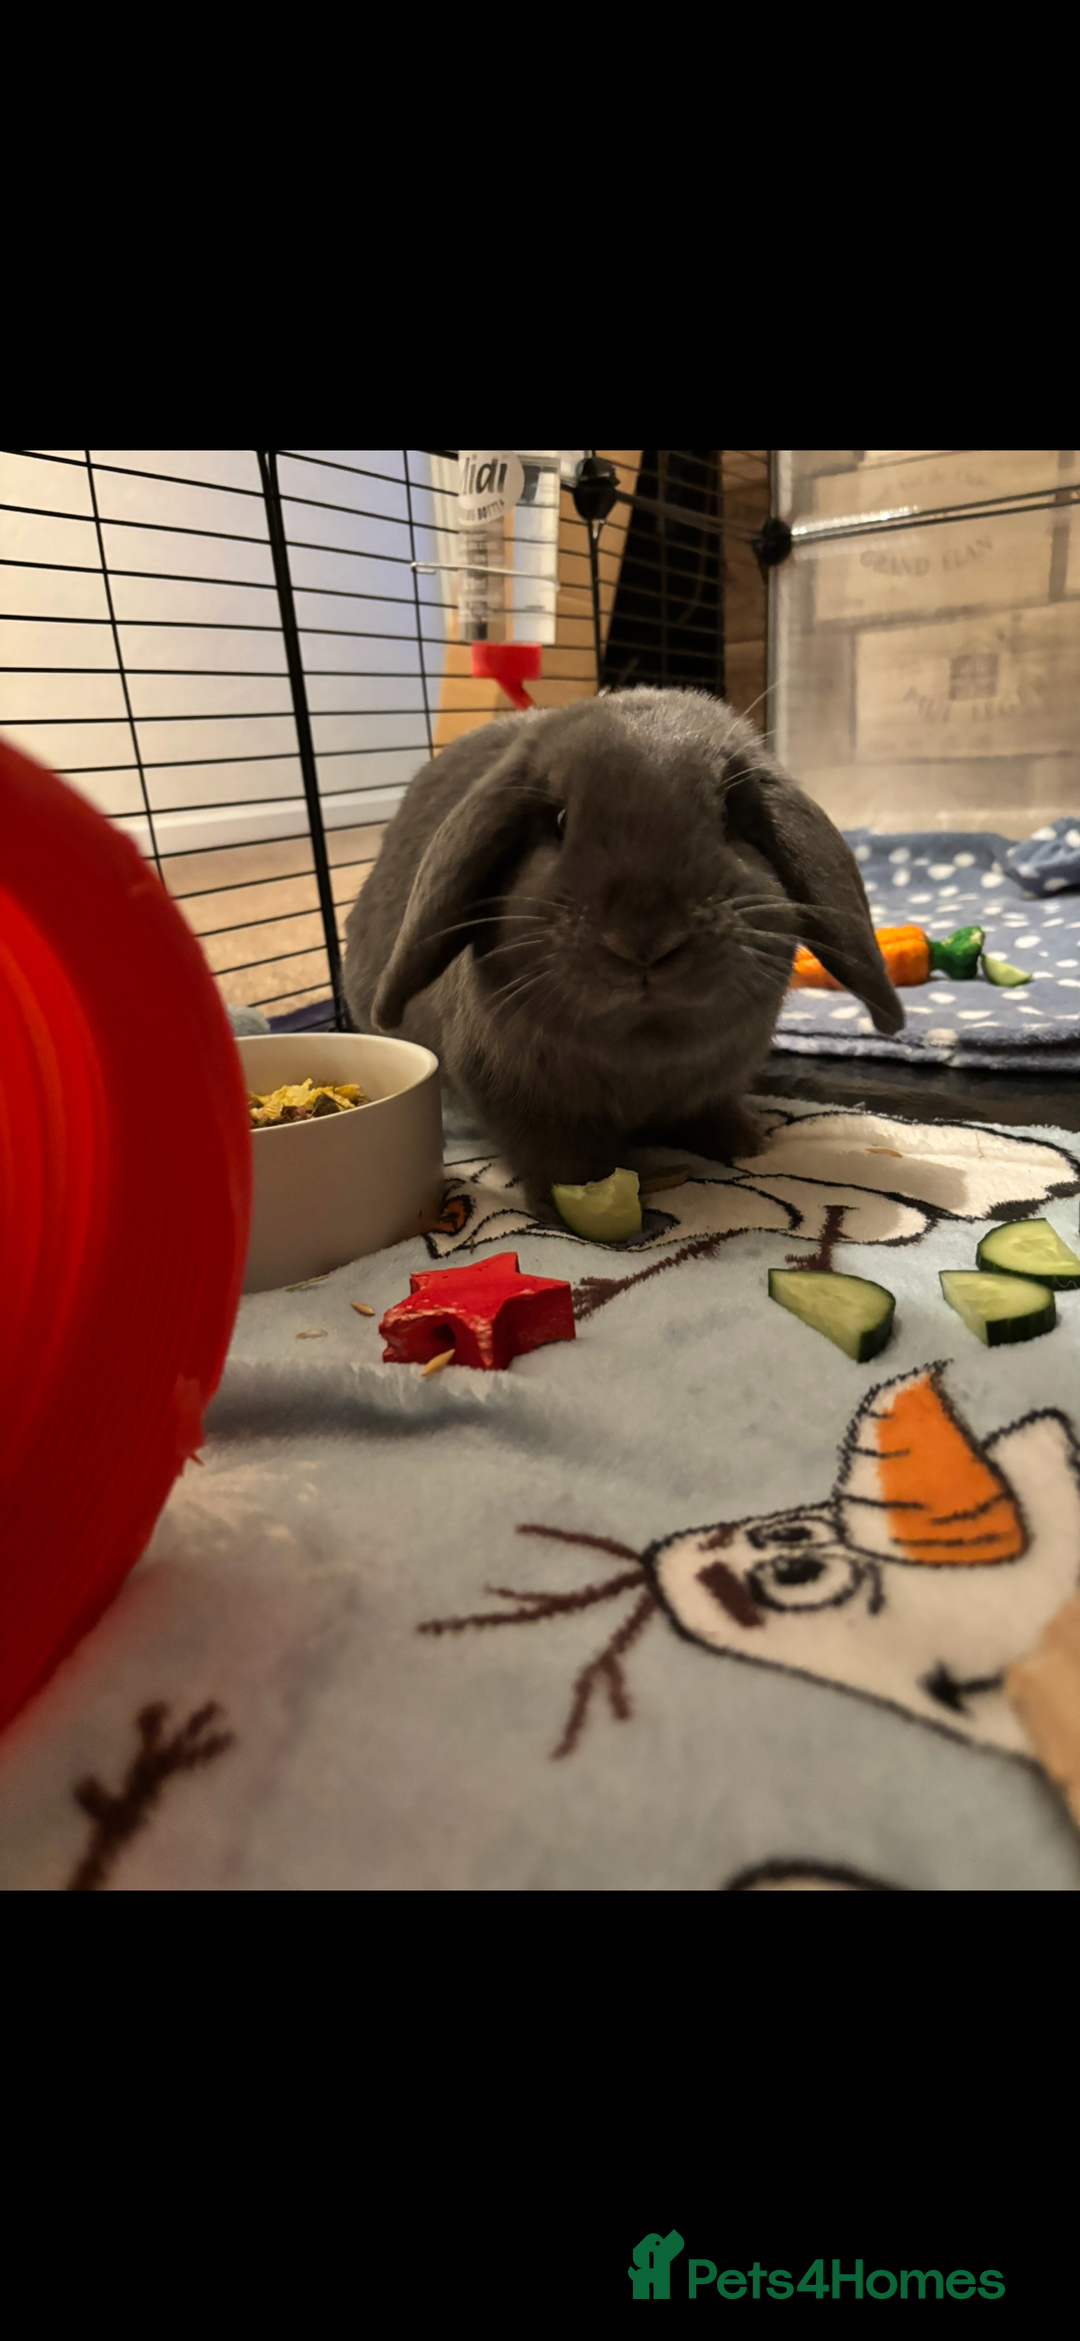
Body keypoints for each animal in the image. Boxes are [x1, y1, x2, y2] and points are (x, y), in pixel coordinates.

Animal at [343, 688, 904, 1215]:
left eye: (727, 814)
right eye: (560, 820)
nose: (643, 942)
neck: (646, 1050)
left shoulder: (718, 1086)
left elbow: (715, 1112)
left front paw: (748, 1147)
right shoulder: (519, 1101)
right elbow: (555, 1156)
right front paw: (568, 1206)